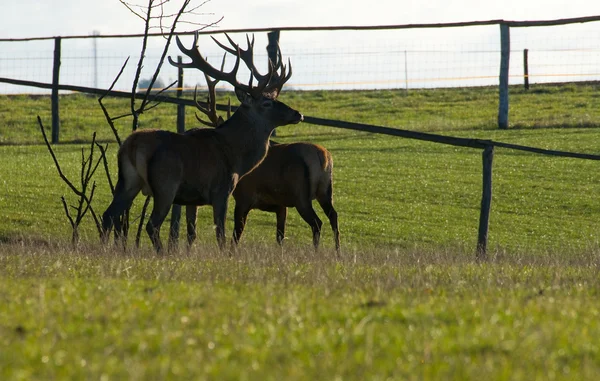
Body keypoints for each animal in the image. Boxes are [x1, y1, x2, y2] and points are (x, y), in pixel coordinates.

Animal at [101, 33, 304, 252]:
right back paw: (161, 253)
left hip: (128, 181)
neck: (236, 157)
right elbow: (221, 234)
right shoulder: (221, 190)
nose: (298, 114)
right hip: (166, 183)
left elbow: (192, 233)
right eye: (266, 103)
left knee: (108, 215)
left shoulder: (192, 198)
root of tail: (132, 145)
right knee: (151, 224)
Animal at [185, 65, 340, 252]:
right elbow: (279, 237)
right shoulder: (280, 205)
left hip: (301, 195)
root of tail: (322, 157)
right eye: (267, 102)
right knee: (333, 216)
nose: (299, 114)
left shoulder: (244, 197)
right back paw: (337, 252)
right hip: (325, 191)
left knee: (317, 222)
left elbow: (236, 236)